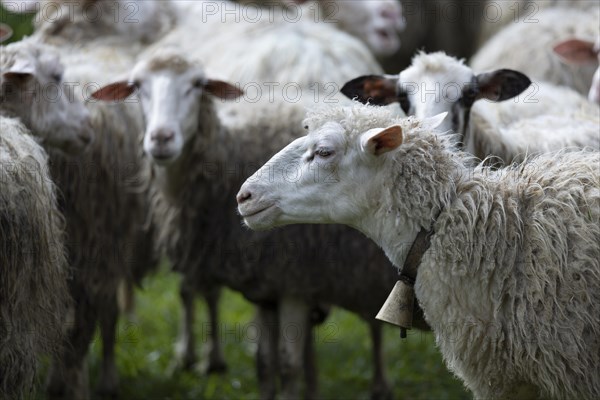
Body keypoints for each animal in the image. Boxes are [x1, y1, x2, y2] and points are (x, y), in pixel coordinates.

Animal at [90, 48, 426, 400]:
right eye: (137, 87)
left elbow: (288, 366)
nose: (161, 139)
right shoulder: (267, 284)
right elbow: (264, 364)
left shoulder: (295, 281)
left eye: (197, 85)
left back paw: (380, 385)